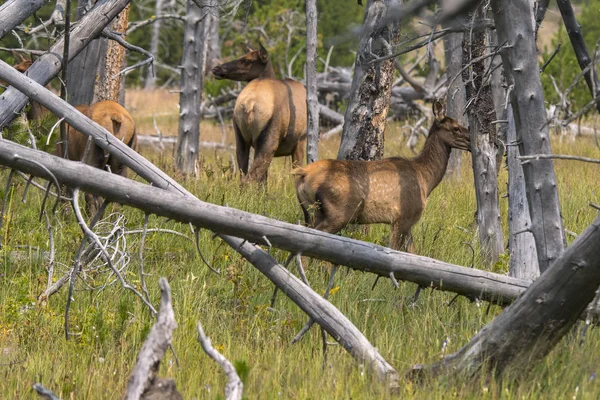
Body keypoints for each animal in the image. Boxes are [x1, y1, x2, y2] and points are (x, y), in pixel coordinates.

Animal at [212, 41, 308, 183]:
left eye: (246, 60)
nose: (216, 69)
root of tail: (249, 103)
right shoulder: (300, 140)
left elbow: (264, 180)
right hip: (269, 140)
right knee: (250, 178)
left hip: (241, 138)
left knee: (244, 176)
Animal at [292, 102, 472, 253]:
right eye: (456, 128)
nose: (472, 140)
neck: (426, 178)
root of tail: (303, 173)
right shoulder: (403, 216)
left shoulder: (406, 223)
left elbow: (413, 252)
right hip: (337, 213)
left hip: (310, 211)